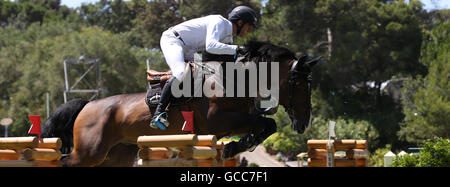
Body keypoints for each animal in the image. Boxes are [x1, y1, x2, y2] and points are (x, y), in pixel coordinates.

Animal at [41, 41, 320, 167]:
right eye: (299, 84)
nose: (304, 123)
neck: (236, 79)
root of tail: (88, 105)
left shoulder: (229, 124)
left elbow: (267, 125)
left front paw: (237, 146)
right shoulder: (219, 121)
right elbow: (267, 122)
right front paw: (237, 146)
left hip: (117, 154)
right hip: (90, 151)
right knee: (64, 162)